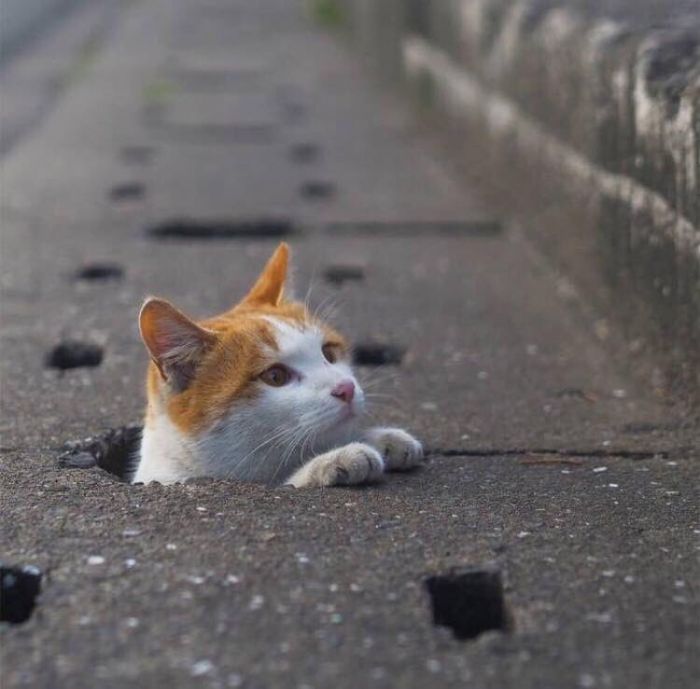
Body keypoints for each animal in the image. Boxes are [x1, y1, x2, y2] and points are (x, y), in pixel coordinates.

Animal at [133, 245, 424, 486]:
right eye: (275, 376)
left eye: (328, 352)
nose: (346, 388)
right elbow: (289, 483)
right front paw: (332, 460)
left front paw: (379, 439)